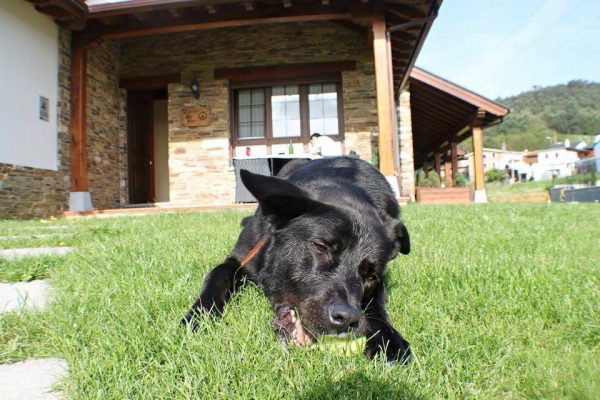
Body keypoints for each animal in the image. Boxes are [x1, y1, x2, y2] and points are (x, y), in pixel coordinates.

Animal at [180, 158, 410, 364]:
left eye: (371, 276)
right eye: (321, 247)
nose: (347, 318)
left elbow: (376, 304)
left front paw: (388, 340)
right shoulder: (241, 257)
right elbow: (217, 275)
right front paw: (198, 317)